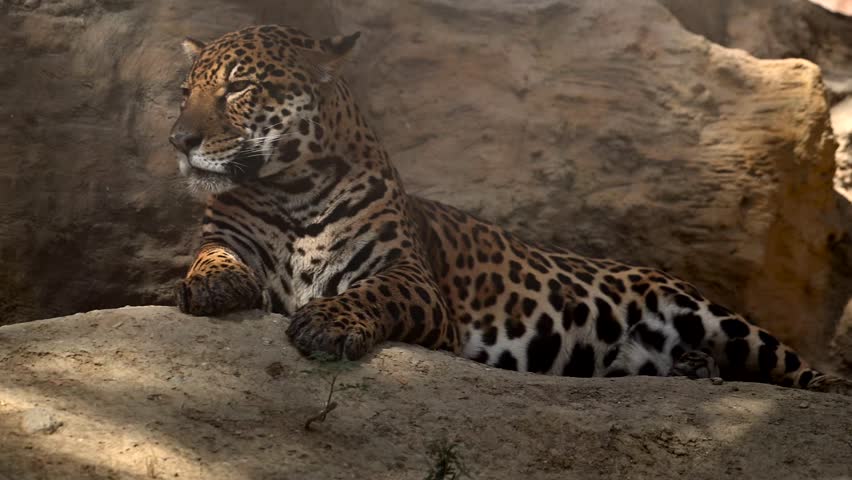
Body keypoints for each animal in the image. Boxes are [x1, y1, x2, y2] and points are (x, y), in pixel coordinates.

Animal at [169, 24, 850, 395]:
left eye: (239, 88)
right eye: (185, 92)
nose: (178, 140)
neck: (292, 187)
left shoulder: (411, 279)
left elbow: (370, 294)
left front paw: (327, 323)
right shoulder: (231, 236)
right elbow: (212, 258)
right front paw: (209, 286)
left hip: (711, 313)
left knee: (790, 364)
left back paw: (822, 386)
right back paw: (691, 371)